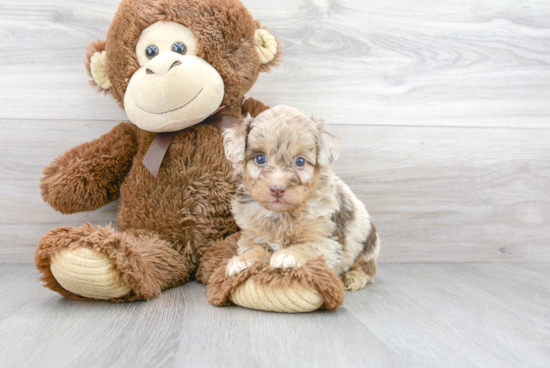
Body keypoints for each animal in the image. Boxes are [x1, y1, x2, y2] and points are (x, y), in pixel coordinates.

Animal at [222, 105, 382, 290]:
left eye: (300, 161)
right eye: (260, 158)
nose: (277, 189)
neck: (280, 214)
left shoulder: (327, 242)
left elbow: (307, 247)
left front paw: (286, 255)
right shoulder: (251, 237)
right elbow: (254, 249)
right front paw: (241, 261)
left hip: (367, 245)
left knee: (367, 269)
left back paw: (354, 277)